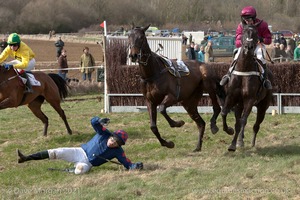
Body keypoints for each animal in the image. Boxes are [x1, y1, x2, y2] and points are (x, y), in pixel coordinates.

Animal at [127, 24, 226, 152]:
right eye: (129, 36)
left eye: (141, 37)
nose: (133, 55)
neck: (152, 73)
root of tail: (205, 64)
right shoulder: (150, 101)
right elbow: (153, 126)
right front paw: (168, 143)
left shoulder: (173, 96)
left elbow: (162, 108)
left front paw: (177, 123)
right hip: (189, 103)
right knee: (201, 123)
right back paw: (198, 146)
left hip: (208, 84)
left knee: (216, 107)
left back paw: (214, 126)